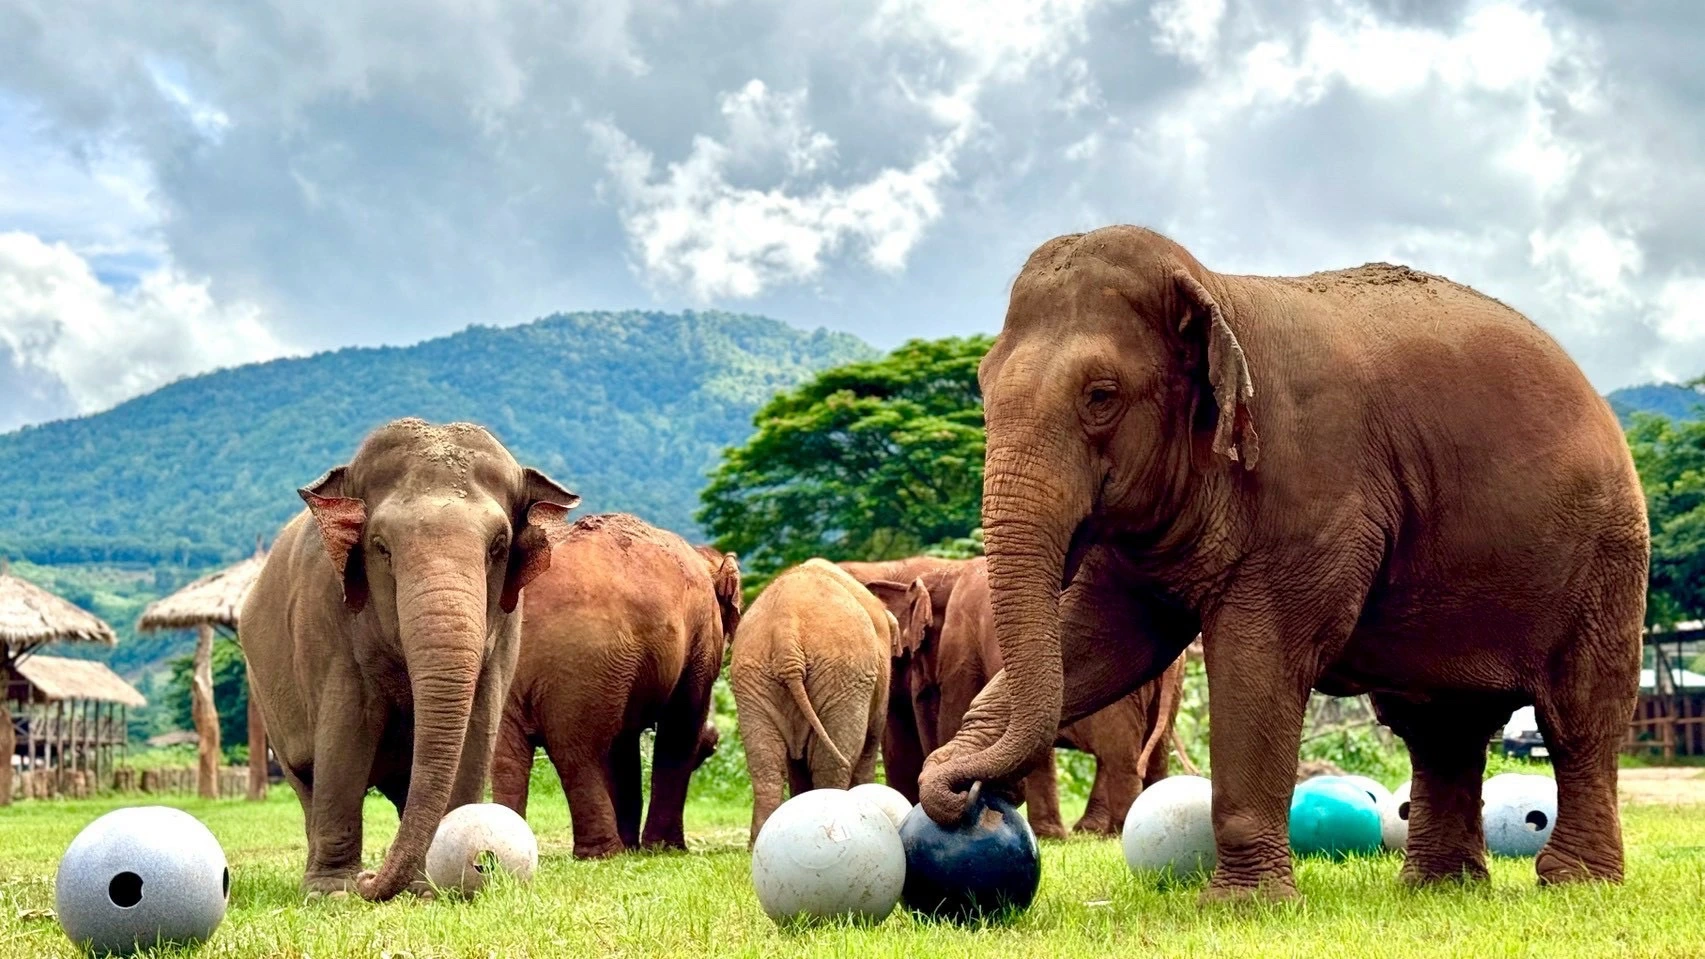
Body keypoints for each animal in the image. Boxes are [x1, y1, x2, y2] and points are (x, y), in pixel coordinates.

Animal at [242, 418, 580, 900]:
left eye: (498, 545)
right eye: (381, 546)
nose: (369, 879)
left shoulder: (509, 626)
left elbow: (476, 728)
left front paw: (425, 888)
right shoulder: (324, 616)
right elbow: (346, 731)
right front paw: (332, 893)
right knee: (305, 776)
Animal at [489, 513, 741, 859]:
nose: (714, 741)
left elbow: (625, 744)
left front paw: (638, 847)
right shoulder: (702, 634)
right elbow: (680, 725)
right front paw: (667, 849)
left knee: (508, 754)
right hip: (584, 660)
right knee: (579, 752)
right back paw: (603, 853)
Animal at [730, 558, 928, 843]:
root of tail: (785, 634)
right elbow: (870, 740)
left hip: (752, 675)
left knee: (765, 764)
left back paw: (758, 840)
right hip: (843, 676)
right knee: (833, 761)